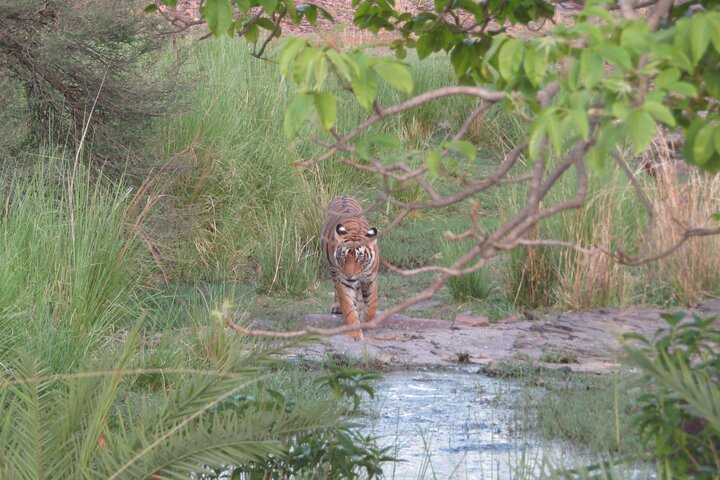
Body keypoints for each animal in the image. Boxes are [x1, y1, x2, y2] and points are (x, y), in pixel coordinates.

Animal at [320, 196, 379, 340]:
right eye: (343, 257)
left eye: (360, 258)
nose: (349, 275)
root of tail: (344, 196)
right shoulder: (344, 281)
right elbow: (348, 307)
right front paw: (355, 333)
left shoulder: (370, 279)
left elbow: (371, 304)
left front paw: (368, 322)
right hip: (332, 269)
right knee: (336, 289)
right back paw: (338, 306)